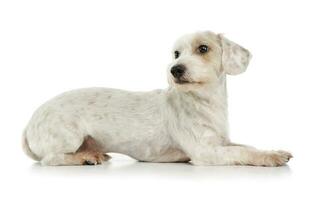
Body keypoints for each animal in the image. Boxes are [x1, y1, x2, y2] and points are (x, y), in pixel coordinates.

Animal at [21, 30, 292, 166]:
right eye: (176, 53)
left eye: (203, 48)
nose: (175, 69)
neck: (204, 102)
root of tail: (29, 124)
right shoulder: (205, 151)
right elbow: (243, 153)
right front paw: (272, 157)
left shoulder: (222, 141)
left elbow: (246, 146)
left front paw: (272, 149)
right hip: (68, 137)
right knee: (50, 159)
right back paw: (85, 157)